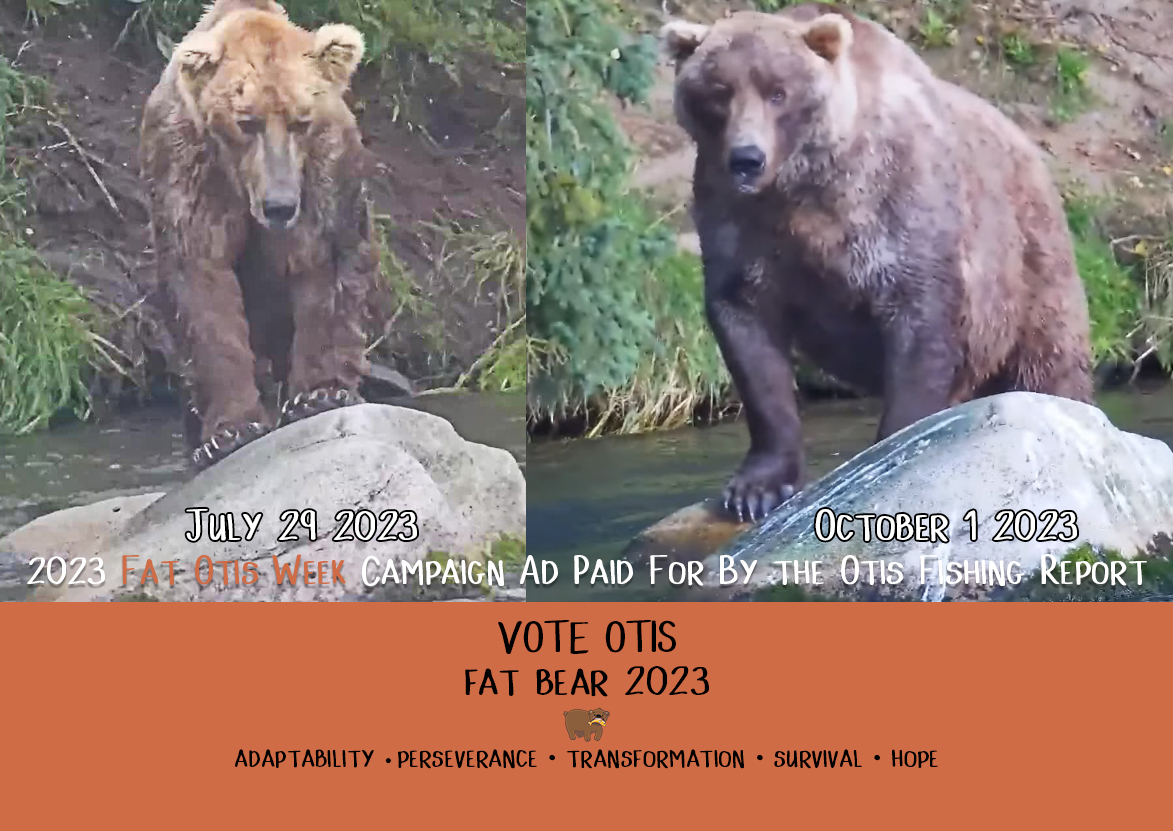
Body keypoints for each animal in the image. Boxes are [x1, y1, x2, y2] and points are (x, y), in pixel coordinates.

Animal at [140, 0, 379, 469]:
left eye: (300, 120)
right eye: (246, 121)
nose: (280, 206)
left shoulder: (322, 173)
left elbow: (325, 267)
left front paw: (320, 393)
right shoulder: (188, 168)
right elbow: (203, 287)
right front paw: (230, 431)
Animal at [661, 5, 1093, 522]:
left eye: (778, 91)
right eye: (719, 93)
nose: (747, 158)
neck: (803, 192)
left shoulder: (896, 212)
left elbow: (919, 324)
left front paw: (891, 449)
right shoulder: (738, 225)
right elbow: (748, 334)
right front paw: (755, 488)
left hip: (1028, 265)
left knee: (1048, 361)